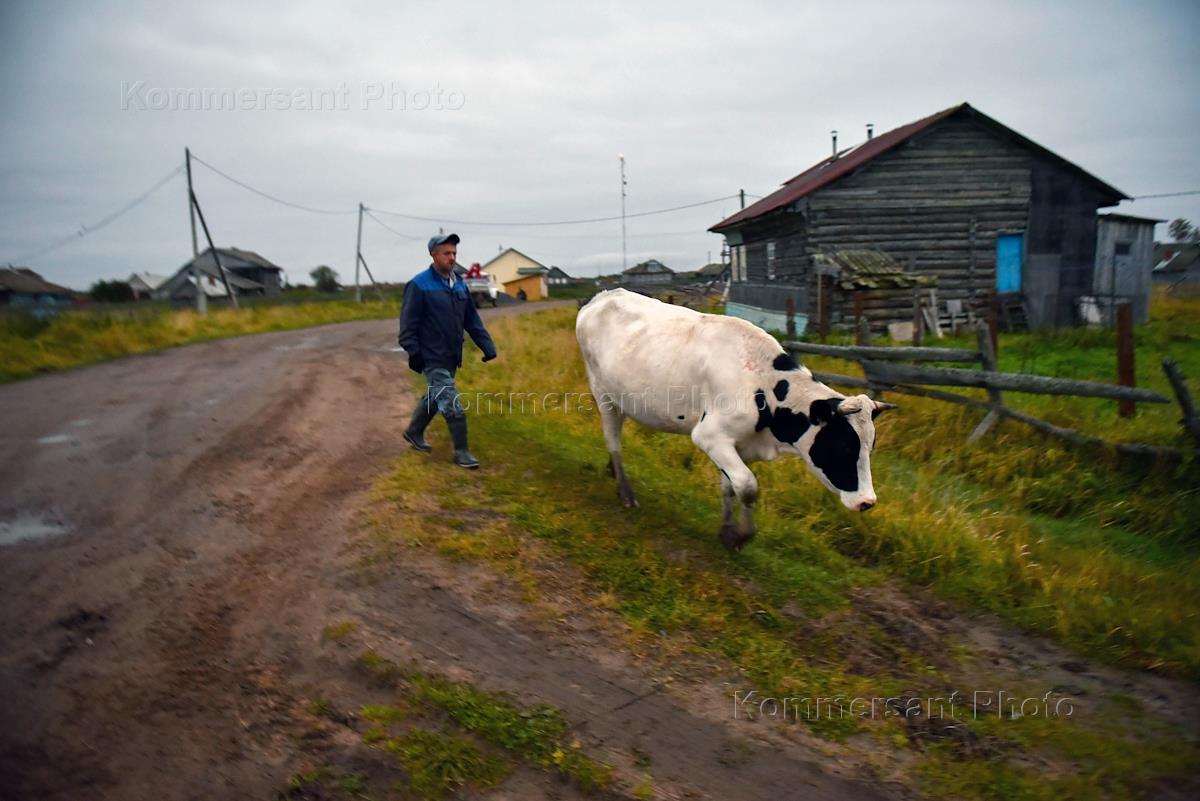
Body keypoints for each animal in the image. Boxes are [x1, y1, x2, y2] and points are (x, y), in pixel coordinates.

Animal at [575, 288, 893, 551]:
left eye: (871, 447)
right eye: (842, 446)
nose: (867, 502)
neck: (763, 385)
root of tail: (602, 296)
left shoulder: (738, 444)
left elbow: (730, 486)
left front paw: (727, 529)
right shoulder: (709, 435)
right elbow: (748, 487)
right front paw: (740, 535)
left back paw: (612, 472)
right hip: (602, 393)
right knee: (613, 438)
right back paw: (624, 490)